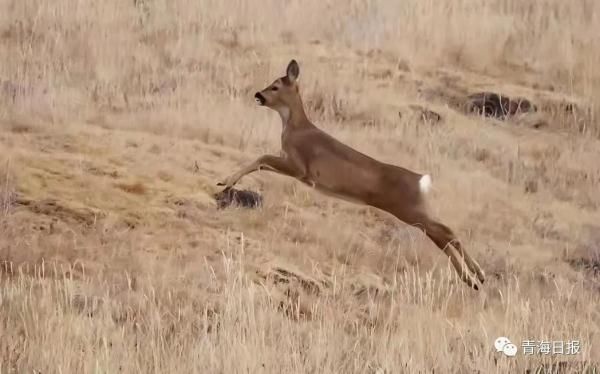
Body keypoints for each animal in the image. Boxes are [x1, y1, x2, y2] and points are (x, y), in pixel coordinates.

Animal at [218, 60, 486, 290]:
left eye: (275, 86)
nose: (258, 95)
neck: (295, 129)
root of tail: (420, 180)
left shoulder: (300, 167)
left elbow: (261, 158)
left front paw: (225, 183)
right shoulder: (296, 169)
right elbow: (261, 163)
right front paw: (226, 182)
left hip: (408, 209)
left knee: (446, 232)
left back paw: (477, 276)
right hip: (414, 210)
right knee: (443, 235)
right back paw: (474, 279)